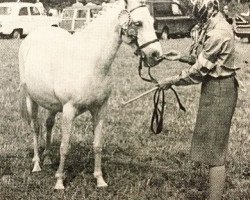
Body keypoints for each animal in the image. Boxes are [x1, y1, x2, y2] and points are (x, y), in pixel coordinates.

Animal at [18, 0, 162, 190]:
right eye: (138, 23)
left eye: (152, 22)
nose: (156, 55)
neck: (89, 62)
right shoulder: (69, 110)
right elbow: (64, 147)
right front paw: (59, 182)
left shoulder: (100, 109)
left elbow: (98, 145)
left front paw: (100, 180)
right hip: (31, 99)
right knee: (36, 128)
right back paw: (36, 164)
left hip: (53, 105)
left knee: (48, 124)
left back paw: (48, 158)